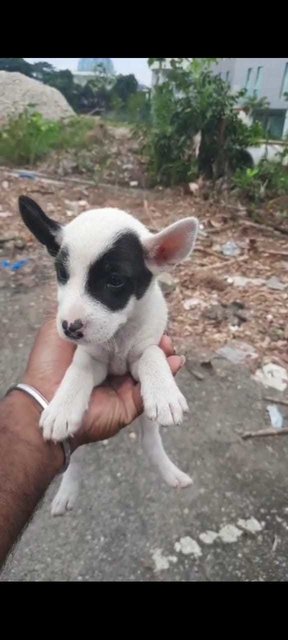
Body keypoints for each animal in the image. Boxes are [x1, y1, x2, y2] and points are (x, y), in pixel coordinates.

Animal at [18, 195, 198, 516]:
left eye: (115, 280)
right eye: (62, 275)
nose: (69, 328)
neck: (118, 336)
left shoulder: (145, 350)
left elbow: (152, 356)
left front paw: (164, 393)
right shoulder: (92, 358)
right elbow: (78, 369)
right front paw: (62, 407)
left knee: (151, 442)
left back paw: (170, 472)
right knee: (74, 457)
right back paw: (67, 492)